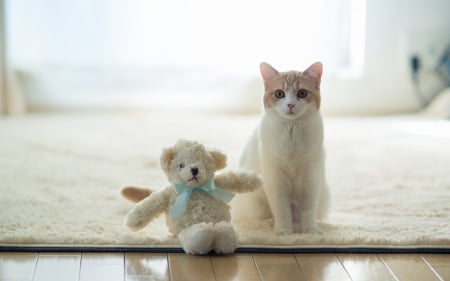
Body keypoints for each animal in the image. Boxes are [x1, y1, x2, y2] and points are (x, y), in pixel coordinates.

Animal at [230, 61, 328, 234]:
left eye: (302, 93)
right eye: (279, 94)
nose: (290, 104)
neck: (292, 130)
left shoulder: (312, 178)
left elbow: (309, 210)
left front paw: (311, 230)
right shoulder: (275, 180)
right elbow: (282, 210)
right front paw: (283, 230)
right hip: (255, 204)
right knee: (257, 218)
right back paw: (269, 224)